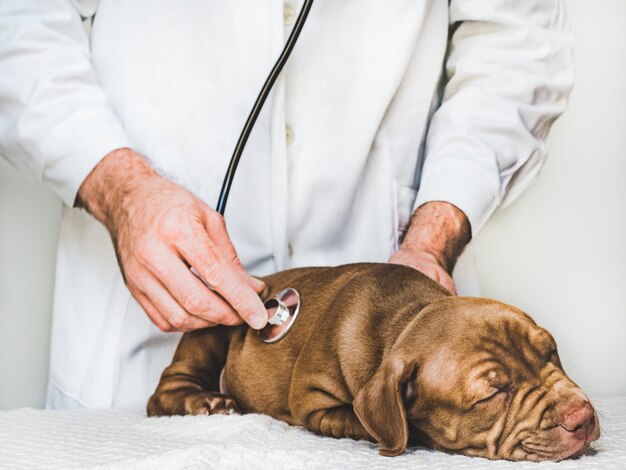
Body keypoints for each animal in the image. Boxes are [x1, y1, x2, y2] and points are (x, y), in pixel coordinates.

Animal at [147, 262, 600, 460]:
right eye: (493, 393)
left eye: (551, 351)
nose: (583, 418)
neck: (404, 318)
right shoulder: (312, 400)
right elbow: (361, 419)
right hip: (213, 320)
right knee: (163, 391)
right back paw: (206, 401)